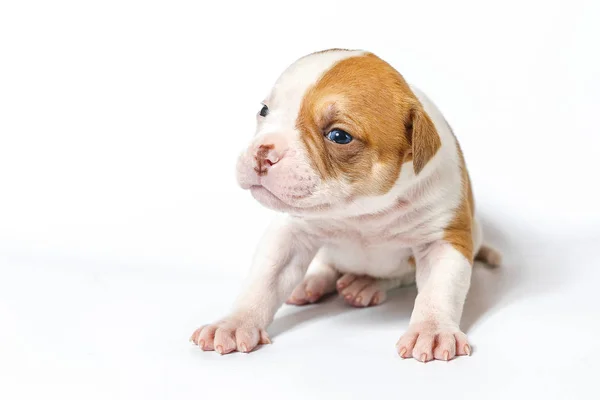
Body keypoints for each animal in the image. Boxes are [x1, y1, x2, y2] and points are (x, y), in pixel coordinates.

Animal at [190, 48, 500, 360]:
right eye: (264, 111)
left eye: (339, 136)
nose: (263, 152)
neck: (362, 211)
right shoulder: (290, 234)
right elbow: (264, 280)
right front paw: (234, 323)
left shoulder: (443, 239)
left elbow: (439, 289)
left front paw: (432, 330)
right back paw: (313, 281)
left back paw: (365, 284)